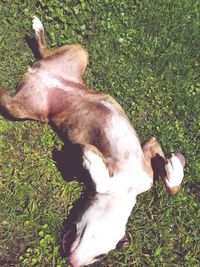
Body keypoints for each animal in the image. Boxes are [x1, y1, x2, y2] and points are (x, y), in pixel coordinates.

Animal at [0, 17, 185, 267]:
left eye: (100, 256)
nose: (74, 262)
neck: (126, 190)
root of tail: (38, 72)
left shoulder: (149, 148)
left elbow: (170, 184)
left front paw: (173, 168)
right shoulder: (114, 177)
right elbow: (103, 178)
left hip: (37, 98)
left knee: (31, 67)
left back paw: (36, 30)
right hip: (33, 97)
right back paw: (37, 27)